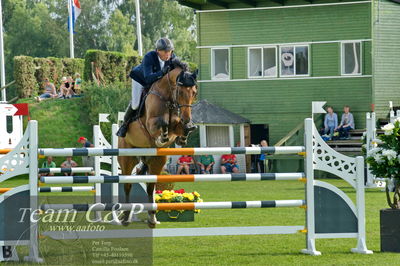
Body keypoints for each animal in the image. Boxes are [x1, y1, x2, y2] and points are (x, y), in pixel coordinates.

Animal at [117, 61, 198, 228]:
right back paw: (126, 217)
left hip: (157, 161)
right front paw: (162, 138)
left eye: (194, 93)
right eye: (180, 92)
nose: (187, 119)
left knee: (150, 187)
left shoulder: (176, 125)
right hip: (127, 159)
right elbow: (163, 122)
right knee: (127, 186)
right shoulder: (150, 124)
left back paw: (152, 218)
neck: (168, 97)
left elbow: (178, 126)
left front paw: (184, 135)